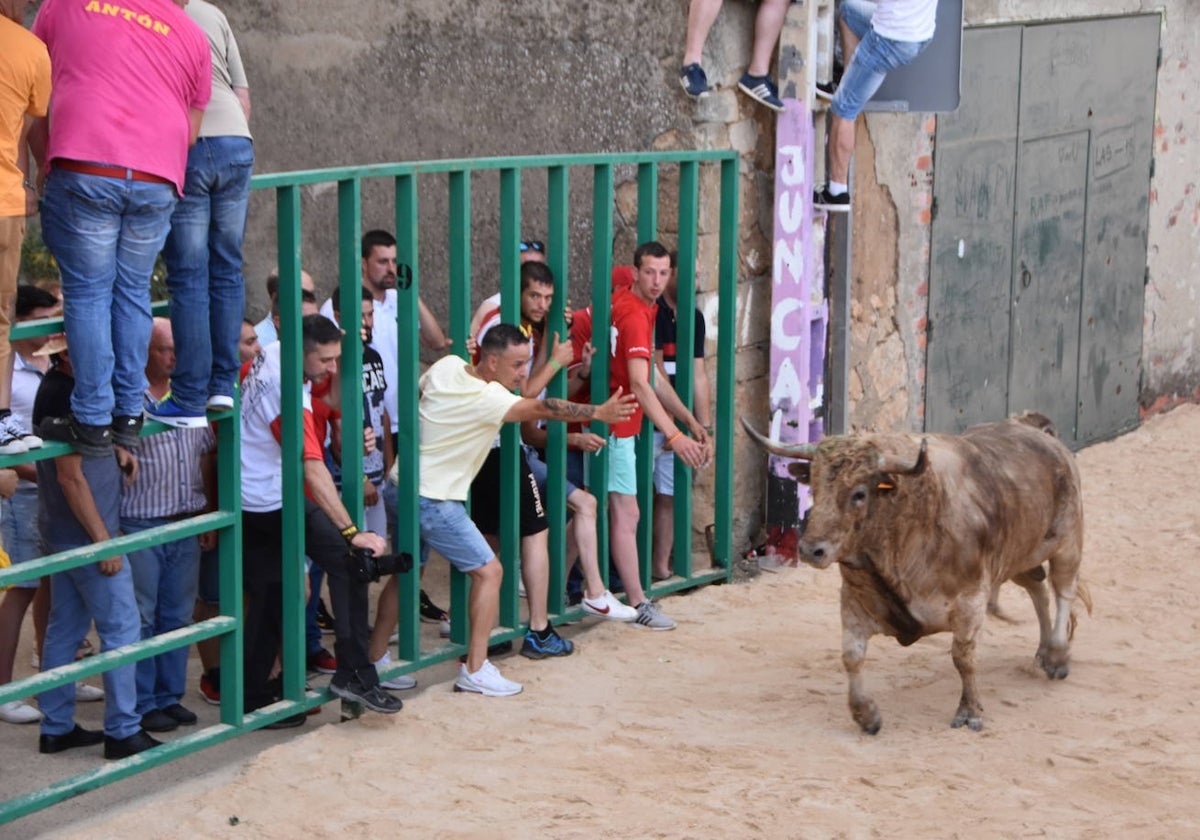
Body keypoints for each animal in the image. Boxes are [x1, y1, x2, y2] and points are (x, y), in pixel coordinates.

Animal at [739, 415, 1089, 734]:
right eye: (813, 485)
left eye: (859, 493)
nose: (812, 549)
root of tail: (1036, 428)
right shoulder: (854, 600)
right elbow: (851, 655)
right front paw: (866, 715)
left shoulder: (971, 598)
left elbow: (963, 656)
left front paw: (970, 712)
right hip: (1020, 556)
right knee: (1039, 591)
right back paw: (1044, 651)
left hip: (1068, 542)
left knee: (1063, 591)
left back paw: (1058, 656)